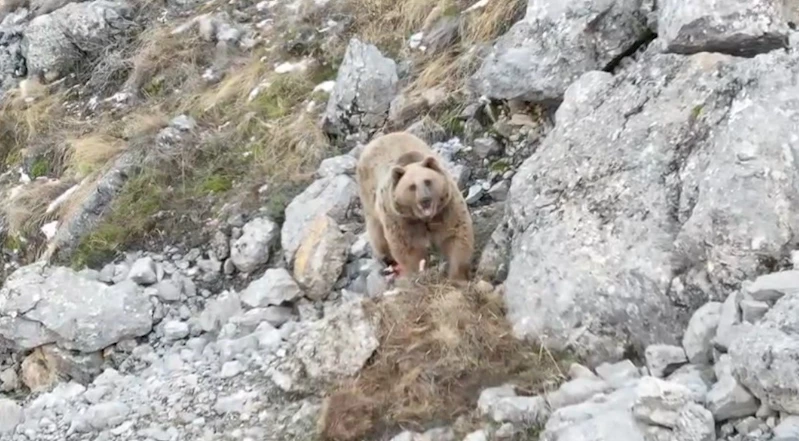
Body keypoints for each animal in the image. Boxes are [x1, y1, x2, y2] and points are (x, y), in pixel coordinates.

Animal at [356, 130, 476, 278]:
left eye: (427, 181)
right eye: (412, 186)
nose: (425, 200)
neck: (425, 219)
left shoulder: (446, 209)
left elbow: (457, 235)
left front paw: (457, 274)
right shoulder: (402, 220)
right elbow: (408, 249)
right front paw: (420, 272)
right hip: (369, 199)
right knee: (377, 234)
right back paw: (387, 259)